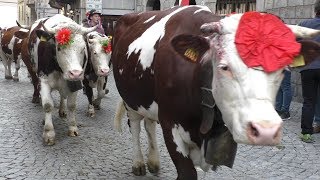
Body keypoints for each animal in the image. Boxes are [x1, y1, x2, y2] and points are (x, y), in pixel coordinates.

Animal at [24, 14, 96, 145]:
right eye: (59, 48)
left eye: (83, 49)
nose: (75, 73)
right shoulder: (44, 80)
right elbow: (47, 105)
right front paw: (49, 133)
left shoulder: (75, 83)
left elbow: (71, 105)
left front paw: (73, 128)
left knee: (63, 96)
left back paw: (62, 111)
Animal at [112, 5, 320, 180]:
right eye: (224, 67)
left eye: (283, 69)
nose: (266, 131)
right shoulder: (170, 124)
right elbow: (187, 173)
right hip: (130, 99)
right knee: (136, 125)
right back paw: (139, 163)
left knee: (149, 124)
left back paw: (154, 162)